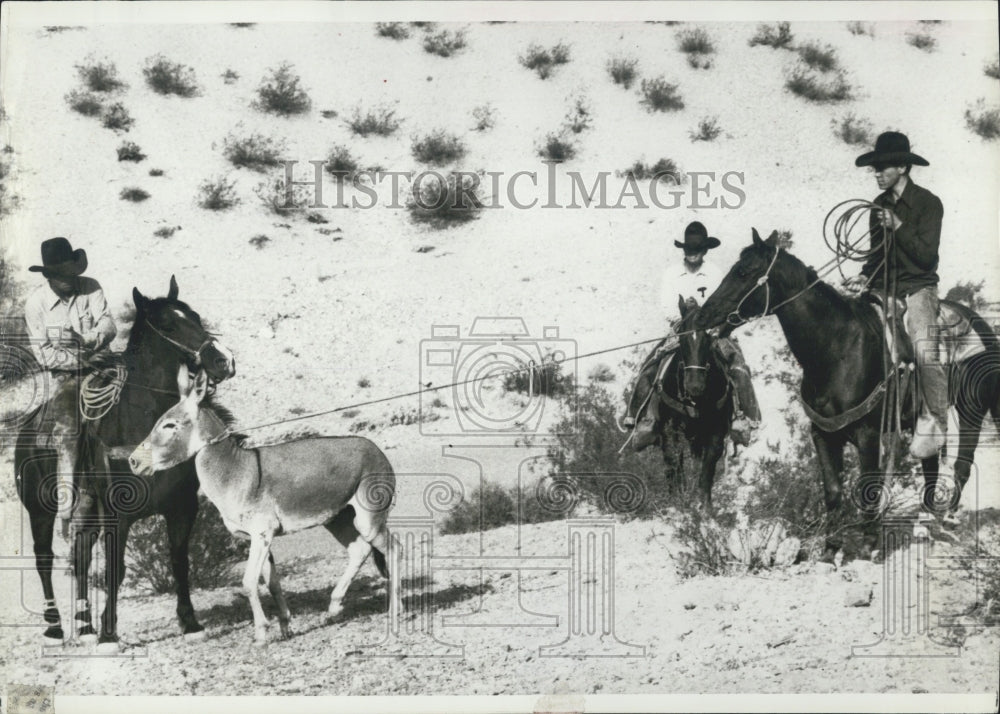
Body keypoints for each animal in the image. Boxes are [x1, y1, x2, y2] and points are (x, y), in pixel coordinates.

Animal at [14, 276, 236, 652]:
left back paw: (84, 625)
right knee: (45, 559)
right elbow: (115, 570)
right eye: (168, 324)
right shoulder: (118, 515)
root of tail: (26, 432)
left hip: (87, 511)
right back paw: (56, 627)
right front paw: (109, 634)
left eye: (194, 316)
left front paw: (190, 622)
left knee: (81, 556)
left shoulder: (181, 506)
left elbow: (180, 561)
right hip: (40, 510)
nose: (224, 361)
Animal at [656, 294, 736, 506]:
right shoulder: (671, 428)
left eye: (708, 339)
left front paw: (704, 505)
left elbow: (707, 468)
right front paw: (678, 500)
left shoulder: (716, 430)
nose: (695, 386)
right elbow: (676, 461)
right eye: (682, 338)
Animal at [696, 231, 1000, 552]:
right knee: (930, 463)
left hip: (972, 409)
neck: (836, 347)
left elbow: (868, 485)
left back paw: (947, 519)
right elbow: (832, 489)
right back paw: (925, 524)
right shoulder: (822, 432)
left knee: (962, 464)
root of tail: (983, 326)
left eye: (743, 271)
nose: (703, 316)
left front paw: (869, 542)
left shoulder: (868, 433)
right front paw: (831, 547)